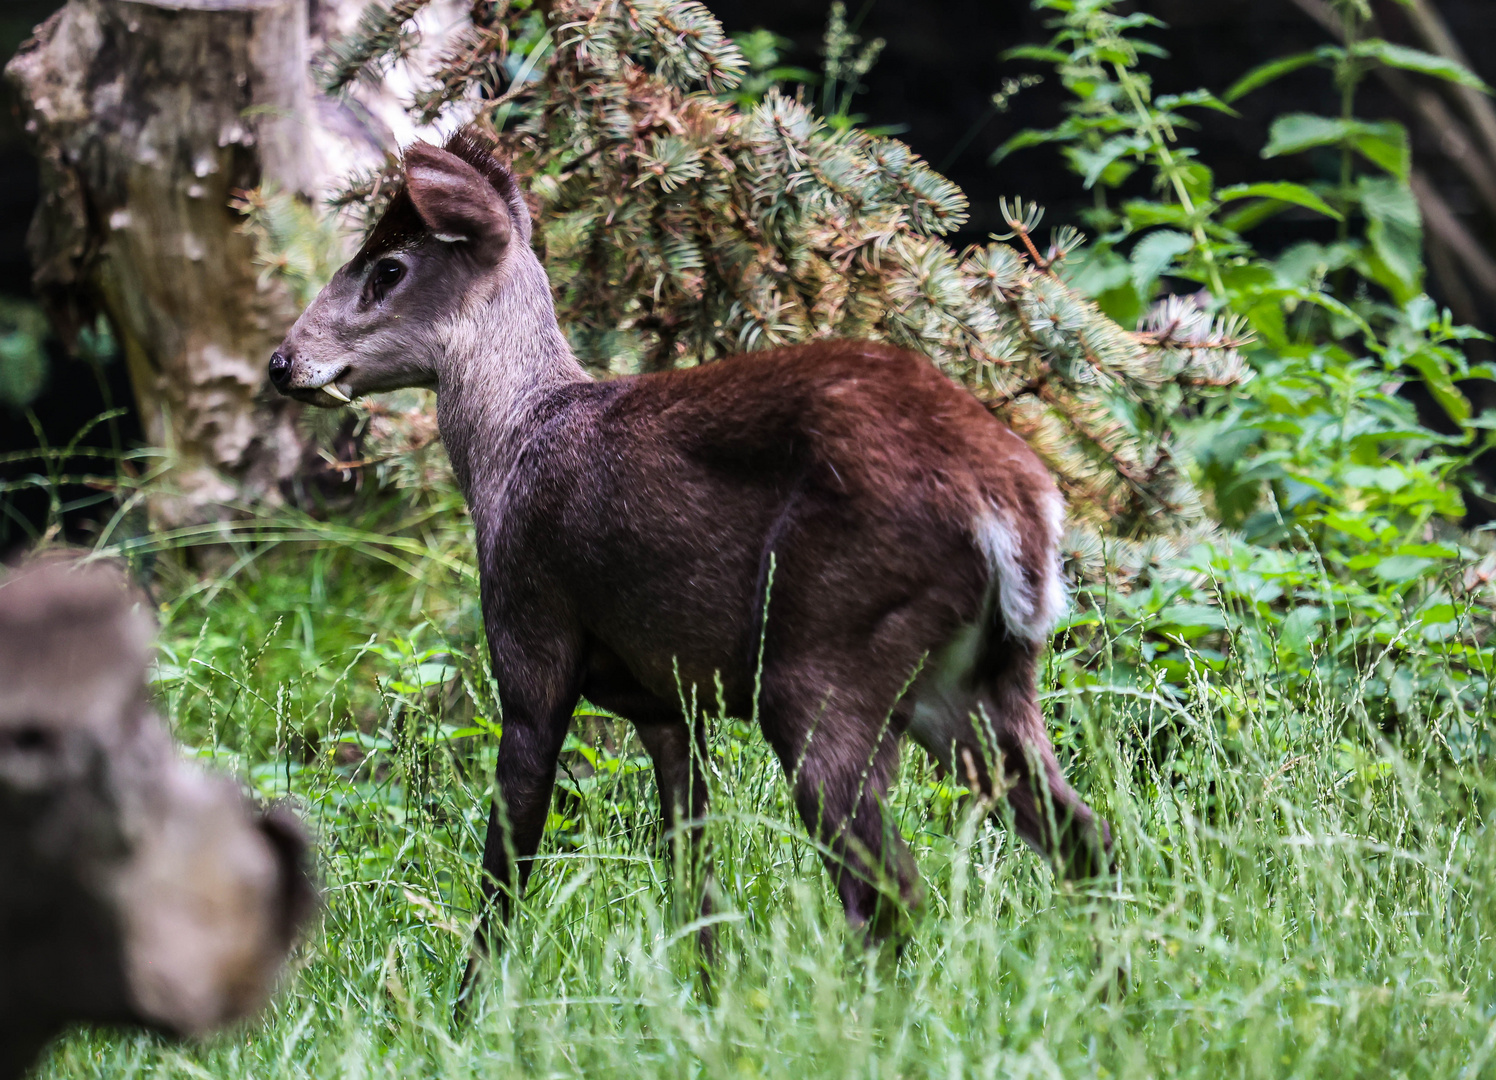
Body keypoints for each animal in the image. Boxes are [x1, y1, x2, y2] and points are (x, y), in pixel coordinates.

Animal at [272, 130, 1113, 963]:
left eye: (387, 268)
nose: (282, 362)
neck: (512, 444)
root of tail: (1014, 501)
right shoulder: (669, 702)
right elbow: (696, 885)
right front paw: (711, 987)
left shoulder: (531, 643)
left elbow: (504, 873)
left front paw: (475, 998)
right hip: (980, 682)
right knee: (1088, 844)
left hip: (825, 655)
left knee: (890, 894)